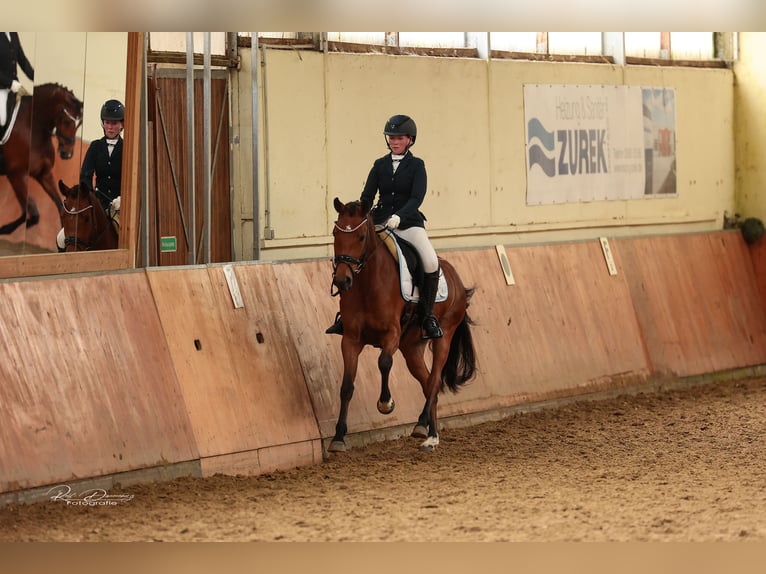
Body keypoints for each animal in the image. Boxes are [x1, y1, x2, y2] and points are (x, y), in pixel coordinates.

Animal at [0, 82, 84, 235]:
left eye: (79, 124)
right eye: (66, 121)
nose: (67, 154)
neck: (33, 127)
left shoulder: (43, 174)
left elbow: (58, 206)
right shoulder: (17, 176)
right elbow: (33, 214)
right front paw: (5, 229)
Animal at [328, 198, 476, 454]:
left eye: (361, 237)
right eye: (336, 234)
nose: (342, 280)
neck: (367, 284)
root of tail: (457, 280)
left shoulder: (392, 334)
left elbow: (384, 362)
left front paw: (385, 403)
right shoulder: (351, 340)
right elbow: (346, 386)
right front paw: (338, 437)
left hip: (443, 337)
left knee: (434, 381)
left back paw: (422, 426)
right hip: (412, 348)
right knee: (428, 385)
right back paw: (430, 435)